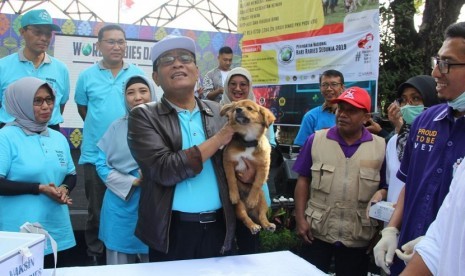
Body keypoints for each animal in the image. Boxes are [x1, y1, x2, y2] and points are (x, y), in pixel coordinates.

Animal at [220, 98, 276, 234]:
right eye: (235, 107)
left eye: (250, 108)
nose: (238, 110)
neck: (248, 141)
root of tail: (251, 212)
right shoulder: (228, 161)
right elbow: (231, 179)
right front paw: (234, 195)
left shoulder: (263, 166)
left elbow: (257, 184)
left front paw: (251, 200)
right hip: (240, 208)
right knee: (246, 218)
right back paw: (253, 226)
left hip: (263, 202)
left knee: (262, 216)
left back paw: (268, 224)